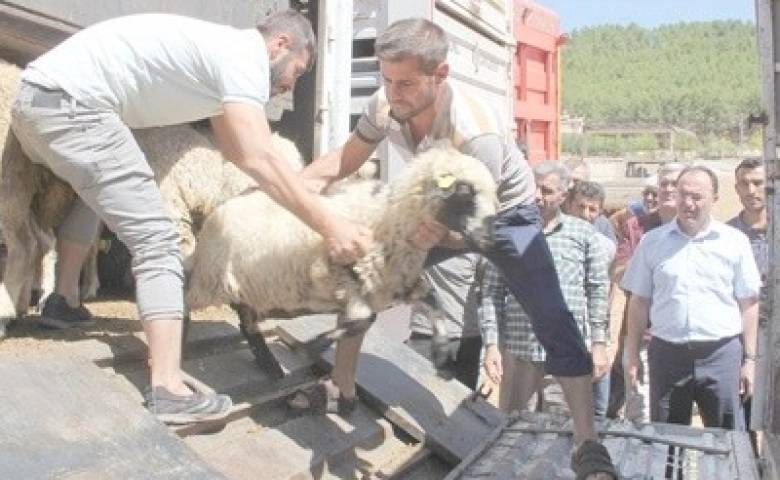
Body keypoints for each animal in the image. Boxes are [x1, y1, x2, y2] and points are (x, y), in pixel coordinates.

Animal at [186, 148, 496, 374]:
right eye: (465, 190)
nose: (490, 238)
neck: (388, 220)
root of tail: (220, 208)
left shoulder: (397, 284)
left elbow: (433, 300)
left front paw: (441, 349)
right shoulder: (345, 281)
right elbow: (365, 321)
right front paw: (312, 347)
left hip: (249, 286)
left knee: (246, 321)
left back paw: (269, 365)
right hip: (211, 279)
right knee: (192, 297)